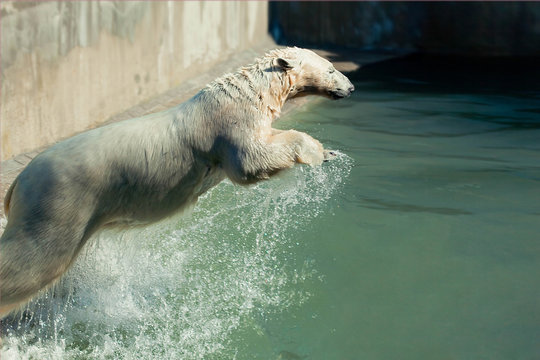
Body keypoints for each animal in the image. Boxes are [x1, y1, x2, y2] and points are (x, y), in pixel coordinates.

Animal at [0, 46, 354, 316]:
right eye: (332, 68)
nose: (350, 87)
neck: (248, 92)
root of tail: (17, 183)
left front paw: (331, 153)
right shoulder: (230, 126)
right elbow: (250, 161)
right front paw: (316, 150)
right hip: (63, 199)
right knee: (35, 259)